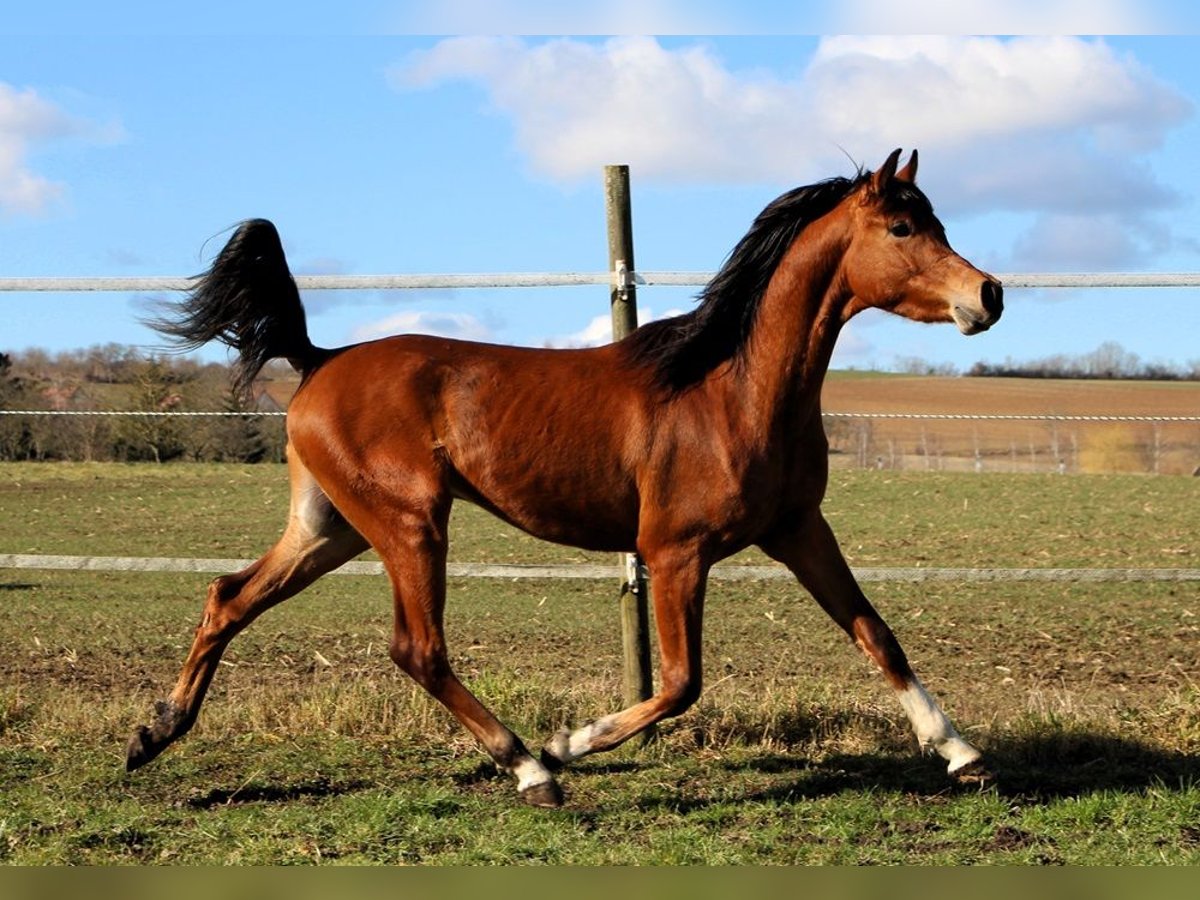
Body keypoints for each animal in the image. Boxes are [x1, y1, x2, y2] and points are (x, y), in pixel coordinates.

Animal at [129, 151, 1003, 806]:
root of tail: (320, 360)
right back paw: (530, 769)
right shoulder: (675, 552)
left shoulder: (797, 529)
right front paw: (569, 743)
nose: (988, 294)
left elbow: (877, 633)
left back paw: (153, 733)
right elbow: (681, 683)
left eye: (937, 221)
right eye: (902, 225)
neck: (730, 390)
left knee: (230, 596)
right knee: (417, 648)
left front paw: (962, 754)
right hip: (410, 523)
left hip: (331, 527)